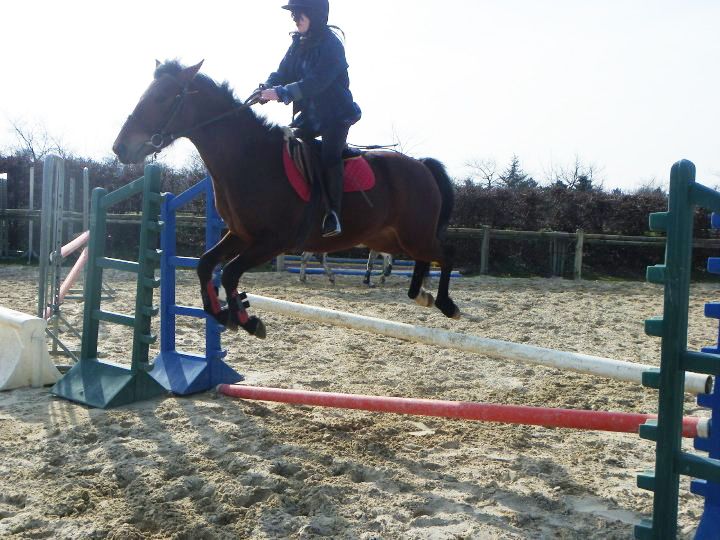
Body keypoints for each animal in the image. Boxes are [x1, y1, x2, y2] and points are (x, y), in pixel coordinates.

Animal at [112, 60, 459, 339]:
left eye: (161, 97)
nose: (120, 148)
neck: (248, 157)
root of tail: (420, 165)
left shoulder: (273, 241)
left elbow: (229, 272)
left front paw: (246, 319)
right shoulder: (241, 235)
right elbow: (206, 265)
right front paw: (225, 314)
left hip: (413, 235)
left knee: (445, 254)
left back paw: (446, 303)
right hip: (390, 238)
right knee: (423, 258)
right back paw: (421, 295)